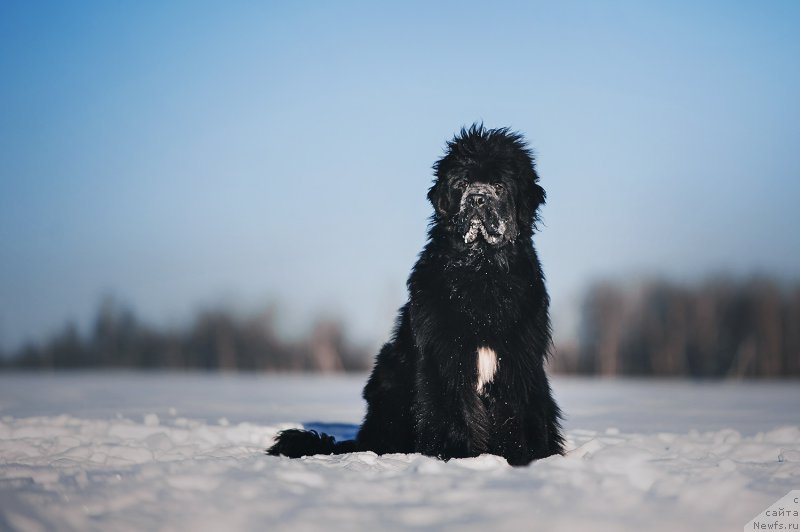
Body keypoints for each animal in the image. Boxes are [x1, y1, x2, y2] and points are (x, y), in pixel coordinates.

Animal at [268, 124, 564, 466]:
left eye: (499, 186)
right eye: (462, 184)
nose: (477, 198)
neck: (481, 270)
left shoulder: (518, 357)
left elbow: (515, 413)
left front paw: (522, 459)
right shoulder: (445, 356)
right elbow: (453, 410)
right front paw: (457, 455)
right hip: (388, 377)